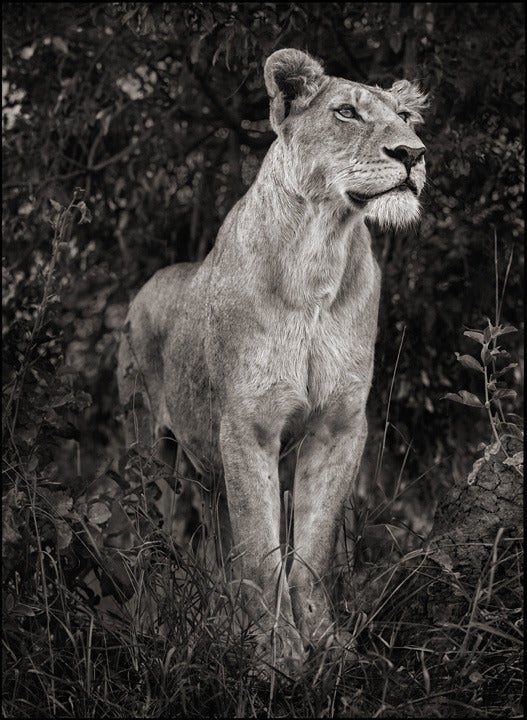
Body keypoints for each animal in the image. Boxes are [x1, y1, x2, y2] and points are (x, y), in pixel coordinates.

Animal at [117, 48, 427, 674]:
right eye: (346, 112)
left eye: (406, 116)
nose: (412, 154)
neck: (321, 252)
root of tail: (146, 288)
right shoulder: (249, 426)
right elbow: (263, 551)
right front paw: (277, 659)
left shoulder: (339, 428)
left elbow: (310, 551)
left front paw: (328, 649)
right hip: (148, 452)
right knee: (149, 539)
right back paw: (148, 630)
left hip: (205, 469)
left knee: (216, 544)